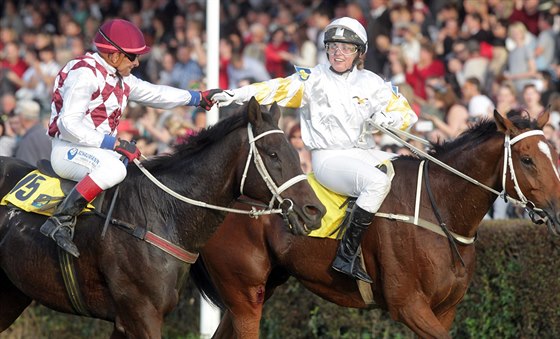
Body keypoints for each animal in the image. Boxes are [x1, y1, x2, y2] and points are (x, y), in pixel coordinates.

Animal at [0, 97, 324, 338]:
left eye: (295, 150)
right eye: (272, 154)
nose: (315, 211)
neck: (161, 213)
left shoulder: (129, 319)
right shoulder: (141, 315)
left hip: (13, 293)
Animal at [191, 110, 560, 338]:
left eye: (554, 153)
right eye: (527, 159)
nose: (557, 211)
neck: (438, 209)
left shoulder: (445, 308)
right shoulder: (408, 305)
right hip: (244, 294)